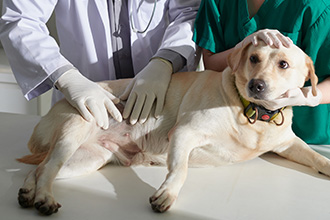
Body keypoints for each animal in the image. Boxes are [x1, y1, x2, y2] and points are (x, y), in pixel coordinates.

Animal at [17, 41, 330, 215]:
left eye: (283, 64)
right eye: (253, 59)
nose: (257, 85)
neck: (251, 113)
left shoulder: (288, 143)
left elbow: (316, 156)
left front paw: (326, 165)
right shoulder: (184, 133)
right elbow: (180, 169)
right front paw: (167, 194)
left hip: (87, 159)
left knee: (41, 169)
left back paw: (29, 193)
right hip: (76, 129)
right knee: (47, 167)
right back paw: (43, 198)